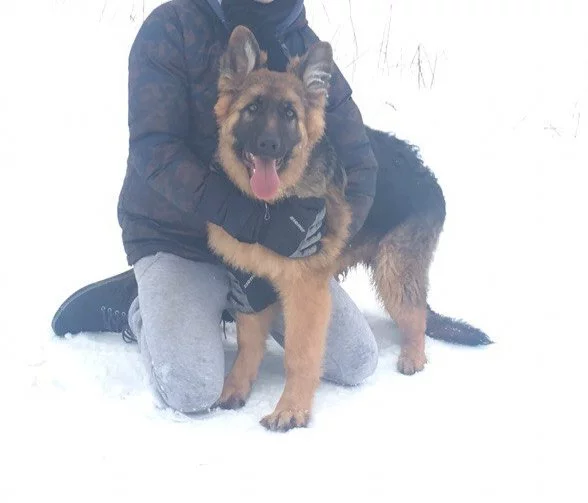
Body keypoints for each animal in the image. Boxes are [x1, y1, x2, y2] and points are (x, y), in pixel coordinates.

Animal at [207, 26, 490, 431]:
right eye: (253, 109)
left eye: (289, 114)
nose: (269, 145)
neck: (269, 212)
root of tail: (428, 176)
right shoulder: (249, 284)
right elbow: (248, 348)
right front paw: (235, 388)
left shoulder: (306, 294)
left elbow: (300, 354)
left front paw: (291, 409)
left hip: (393, 271)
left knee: (416, 314)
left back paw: (413, 357)